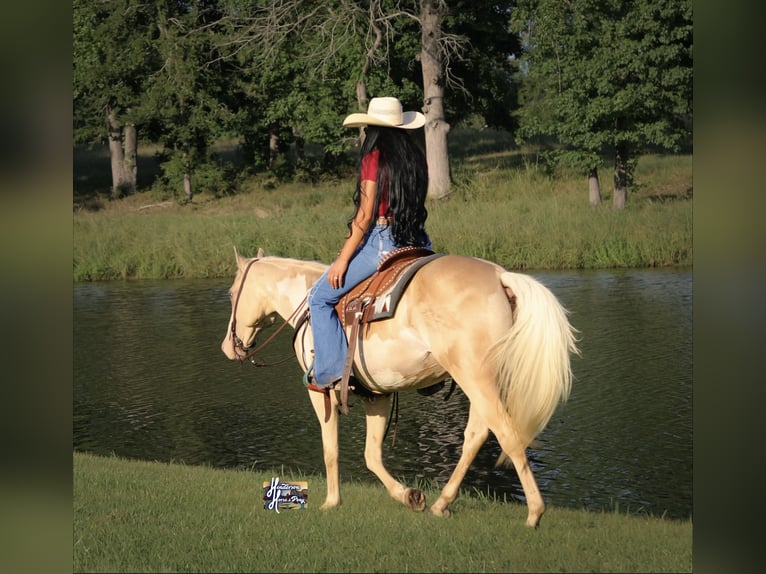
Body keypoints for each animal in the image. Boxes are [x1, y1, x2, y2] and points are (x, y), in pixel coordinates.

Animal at [221, 247, 579, 527]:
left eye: (231, 293)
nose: (228, 347)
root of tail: (499, 276)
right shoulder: (377, 395)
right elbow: (371, 455)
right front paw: (409, 496)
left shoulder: (319, 391)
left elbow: (330, 449)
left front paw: (331, 502)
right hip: (481, 382)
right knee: (477, 435)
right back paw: (441, 504)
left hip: (476, 378)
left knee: (507, 434)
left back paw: (534, 512)